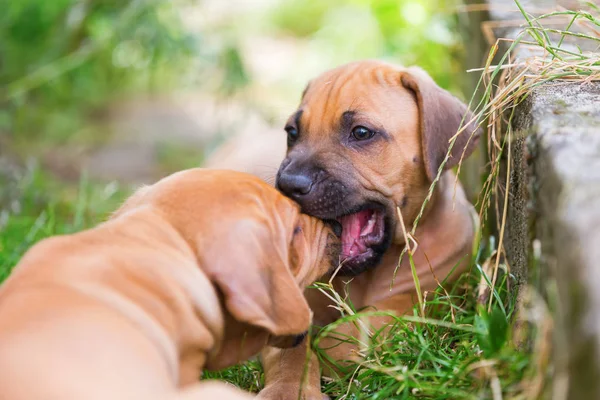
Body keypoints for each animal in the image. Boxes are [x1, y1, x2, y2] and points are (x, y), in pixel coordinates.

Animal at [258, 60, 482, 400]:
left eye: (361, 133)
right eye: (292, 133)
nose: (288, 185)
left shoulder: (435, 296)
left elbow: (370, 323)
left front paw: (331, 346)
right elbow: (290, 353)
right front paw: (288, 389)